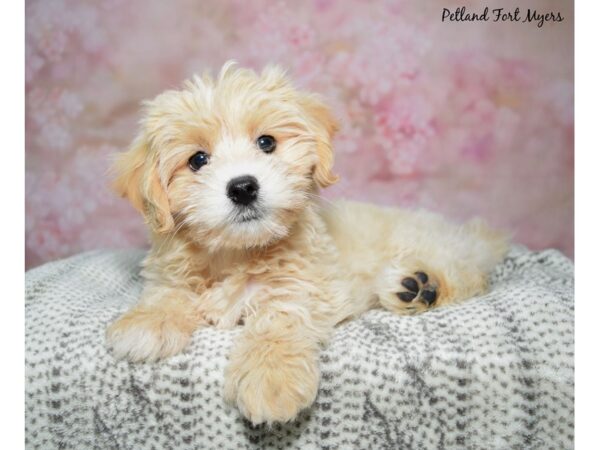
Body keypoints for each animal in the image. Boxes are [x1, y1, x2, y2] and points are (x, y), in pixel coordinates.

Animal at [105, 62, 508, 426]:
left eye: (266, 142)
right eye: (198, 160)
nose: (243, 187)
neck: (236, 252)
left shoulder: (312, 286)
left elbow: (280, 316)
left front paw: (269, 377)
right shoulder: (171, 273)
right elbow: (168, 293)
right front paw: (147, 322)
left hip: (426, 242)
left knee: (468, 273)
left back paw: (422, 286)